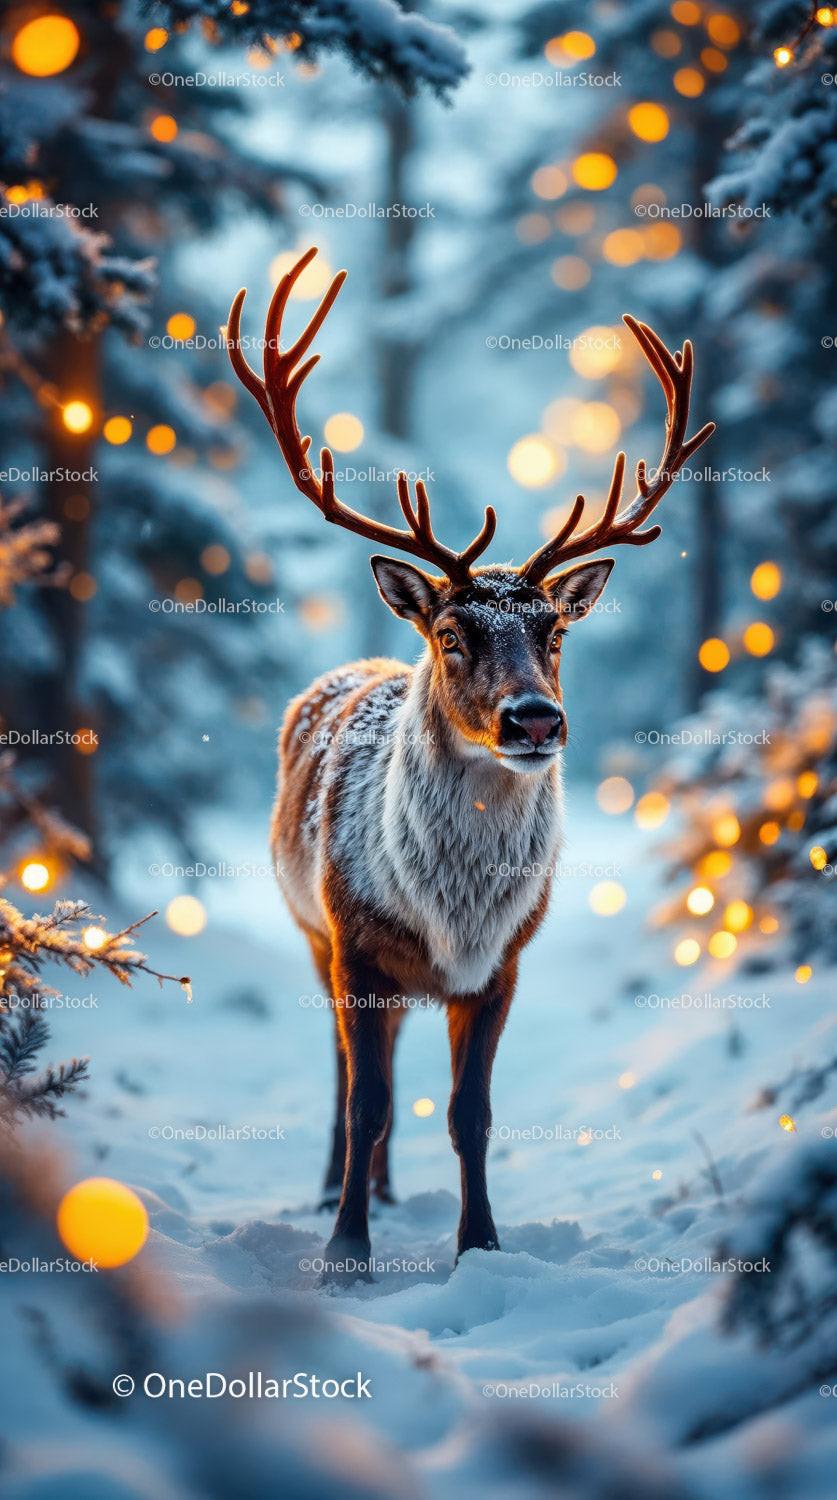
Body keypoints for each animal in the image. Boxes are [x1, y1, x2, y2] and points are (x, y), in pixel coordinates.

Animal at [227, 246, 714, 1284]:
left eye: (555, 631)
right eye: (452, 634)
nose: (534, 718)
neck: (449, 910)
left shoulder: (500, 963)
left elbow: (469, 1114)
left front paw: (478, 1244)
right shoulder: (354, 942)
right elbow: (368, 1100)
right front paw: (345, 1251)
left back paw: (382, 1190)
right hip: (315, 932)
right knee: (344, 1072)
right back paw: (340, 1192)